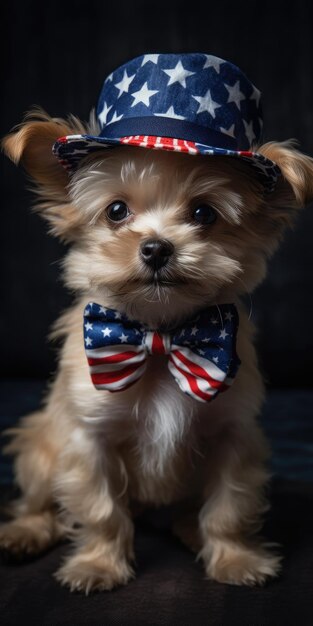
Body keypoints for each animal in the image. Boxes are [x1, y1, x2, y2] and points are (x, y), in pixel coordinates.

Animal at [1, 52, 312, 588]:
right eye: (116, 211)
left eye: (204, 214)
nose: (156, 247)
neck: (160, 334)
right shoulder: (88, 438)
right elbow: (101, 509)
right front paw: (99, 563)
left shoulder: (233, 435)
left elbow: (229, 507)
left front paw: (236, 559)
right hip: (40, 445)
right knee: (40, 500)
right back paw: (27, 532)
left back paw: (188, 528)